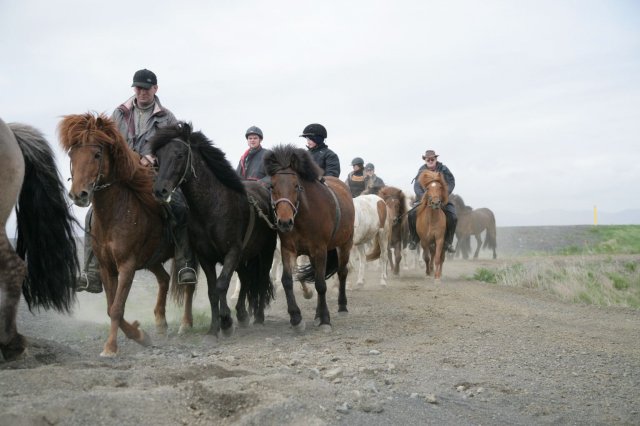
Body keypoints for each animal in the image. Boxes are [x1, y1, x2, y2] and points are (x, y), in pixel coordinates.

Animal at [59, 112, 178, 356]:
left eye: (97, 154)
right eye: (72, 155)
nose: (78, 195)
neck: (115, 214)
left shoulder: (127, 266)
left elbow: (116, 308)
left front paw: (111, 347)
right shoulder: (107, 268)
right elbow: (111, 307)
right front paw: (140, 334)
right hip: (153, 260)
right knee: (164, 279)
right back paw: (161, 322)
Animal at [151, 121, 278, 338]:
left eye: (179, 154)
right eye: (158, 156)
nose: (160, 191)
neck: (211, 207)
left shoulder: (232, 252)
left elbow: (221, 285)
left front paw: (226, 322)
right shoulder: (206, 257)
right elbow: (212, 291)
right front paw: (214, 328)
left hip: (266, 251)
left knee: (260, 280)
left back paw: (258, 317)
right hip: (246, 257)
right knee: (246, 280)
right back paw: (242, 315)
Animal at [264, 145, 356, 332]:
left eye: (296, 186)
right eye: (272, 186)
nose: (284, 222)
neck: (303, 216)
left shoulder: (320, 250)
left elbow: (321, 284)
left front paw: (325, 319)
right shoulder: (288, 250)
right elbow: (287, 281)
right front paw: (296, 318)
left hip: (345, 244)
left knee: (342, 272)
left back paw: (342, 307)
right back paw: (317, 315)